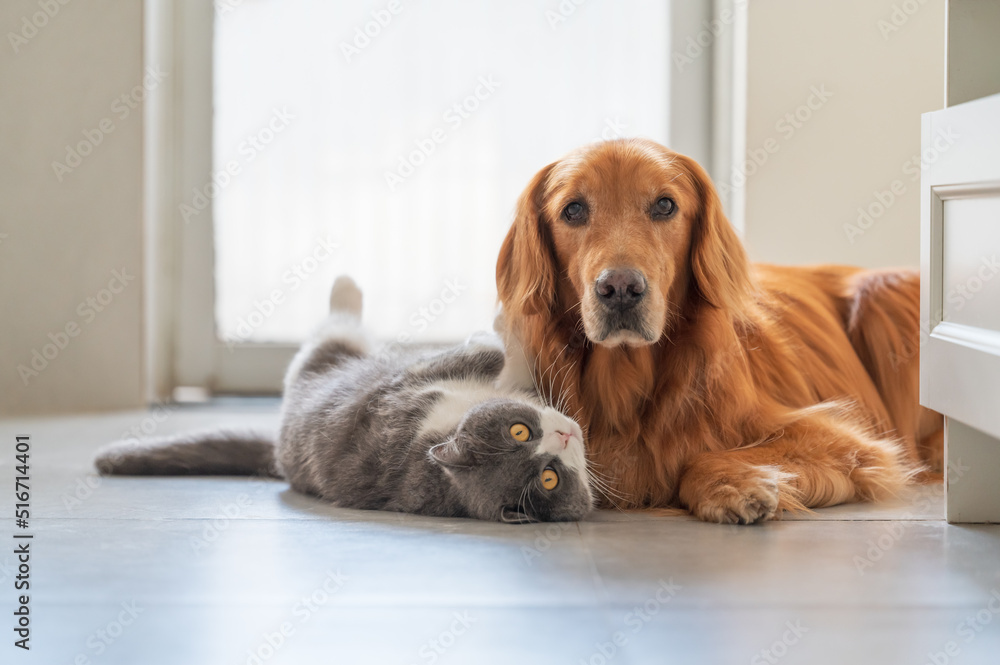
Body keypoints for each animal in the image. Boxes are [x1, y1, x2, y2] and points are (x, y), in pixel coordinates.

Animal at [95, 276, 592, 524]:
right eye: (520, 431)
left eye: (549, 479)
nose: (567, 433)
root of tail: (278, 450)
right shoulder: (407, 389)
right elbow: (494, 354)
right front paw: (509, 326)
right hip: (325, 356)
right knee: (337, 323)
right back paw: (345, 284)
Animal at [496, 139, 940, 524]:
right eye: (572, 210)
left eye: (665, 205)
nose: (620, 289)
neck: (628, 387)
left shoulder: (847, 441)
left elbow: (701, 458)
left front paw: (732, 485)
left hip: (881, 298)